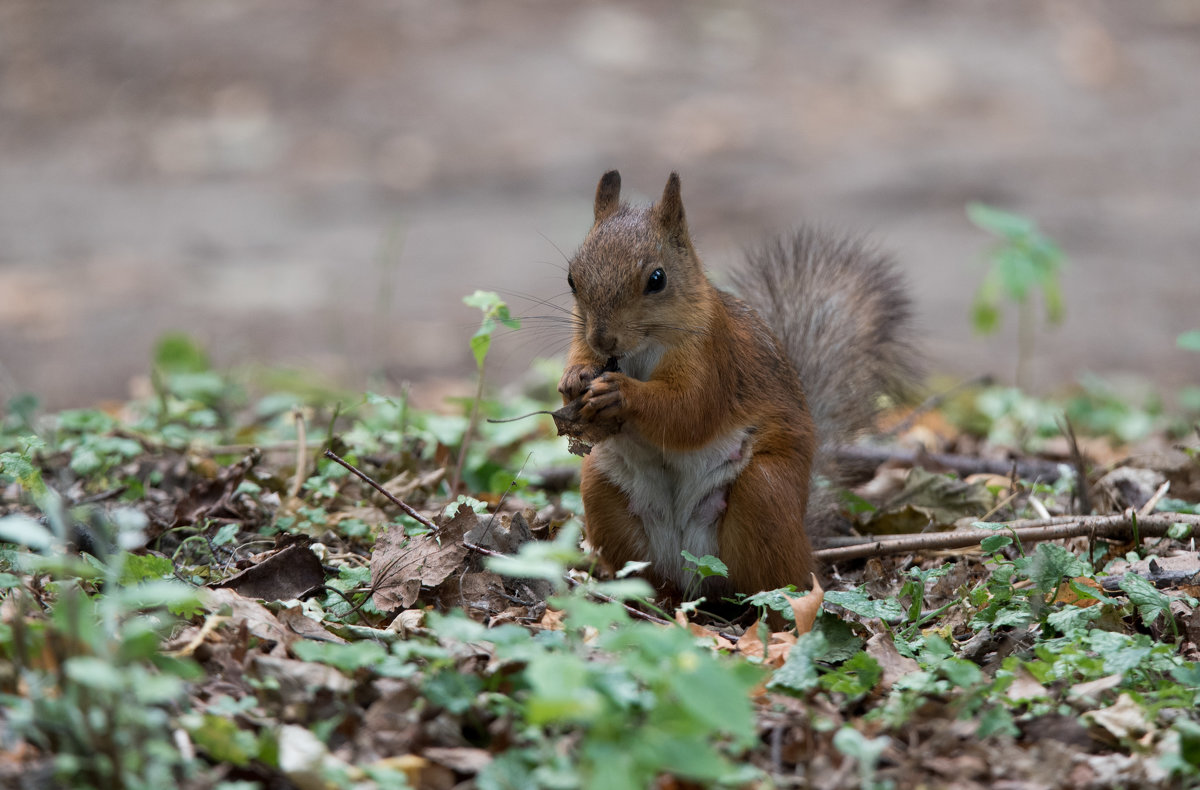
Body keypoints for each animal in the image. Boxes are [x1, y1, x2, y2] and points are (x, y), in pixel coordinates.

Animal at [556, 168, 912, 597]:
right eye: (572, 278)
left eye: (657, 279)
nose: (603, 340)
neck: (641, 350)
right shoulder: (583, 339)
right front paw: (574, 377)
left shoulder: (713, 357)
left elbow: (689, 412)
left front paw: (622, 393)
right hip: (601, 490)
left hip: (764, 493)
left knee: (777, 582)